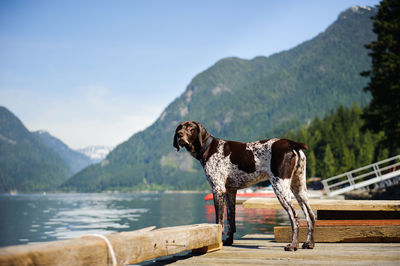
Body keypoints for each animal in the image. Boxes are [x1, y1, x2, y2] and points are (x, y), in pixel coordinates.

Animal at [173, 121, 316, 250]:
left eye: (191, 128)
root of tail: (290, 143)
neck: (208, 148)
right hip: (299, 188)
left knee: (294, 216)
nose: (180, 135)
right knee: (310, 215)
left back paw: (293, 245)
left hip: (280, 187)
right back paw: (309, 243)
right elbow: (231, 220)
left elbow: (219, 221)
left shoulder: (218, 189)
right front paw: (228, 241)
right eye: (180, 128)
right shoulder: (230, 191)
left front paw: (217, 242)